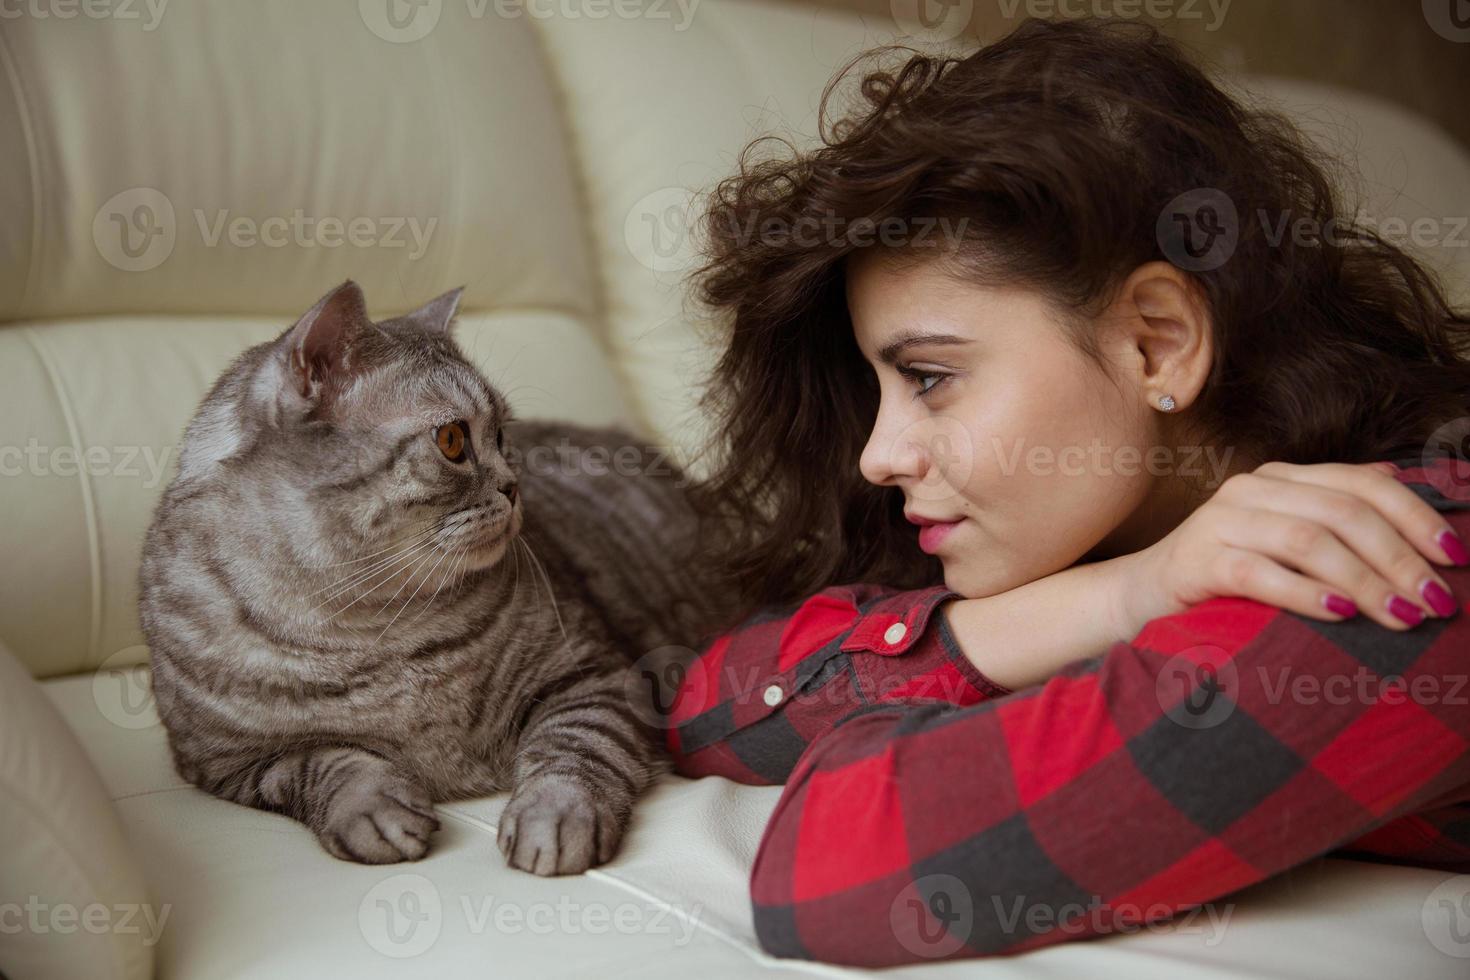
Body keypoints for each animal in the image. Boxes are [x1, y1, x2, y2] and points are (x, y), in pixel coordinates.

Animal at [138, 282, 723, 875]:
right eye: (452, 440)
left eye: (503, 436)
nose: (514, 486)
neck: (370, 631)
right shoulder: (229, 763)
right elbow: (324, 762)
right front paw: (371, 809)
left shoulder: (592, 675)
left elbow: (577, 749)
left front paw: (554, 818)